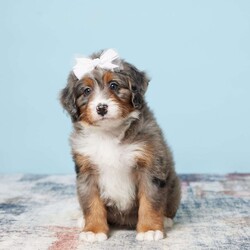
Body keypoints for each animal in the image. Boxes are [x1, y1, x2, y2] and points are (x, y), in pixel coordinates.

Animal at [60, 47, 182, 241]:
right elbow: (91, 203)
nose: (101, 108)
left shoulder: (149, 165)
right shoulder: (86, 170)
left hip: (174, 185)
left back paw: (166, 219)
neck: (109, 133)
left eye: (114, 85)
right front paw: (93, 230)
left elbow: (150, 201)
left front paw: (149, 229)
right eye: (86, 91)